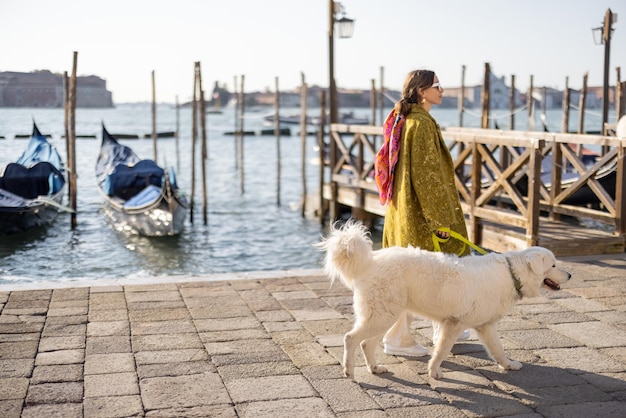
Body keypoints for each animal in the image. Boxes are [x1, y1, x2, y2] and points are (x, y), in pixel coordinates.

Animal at [316, 224, 572, 380]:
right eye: (554, 265)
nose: (570, 275)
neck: (511, 274)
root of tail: (371, 260)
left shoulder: (486, 326)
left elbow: (498, 350)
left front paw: (508, 365)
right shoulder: (454, 324)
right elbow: (441, 351)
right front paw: (434, 372)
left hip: (385, 316)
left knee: (365, 343)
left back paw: (375, 368)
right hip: (381, 316)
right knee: (351, 338)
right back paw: (349, 371)